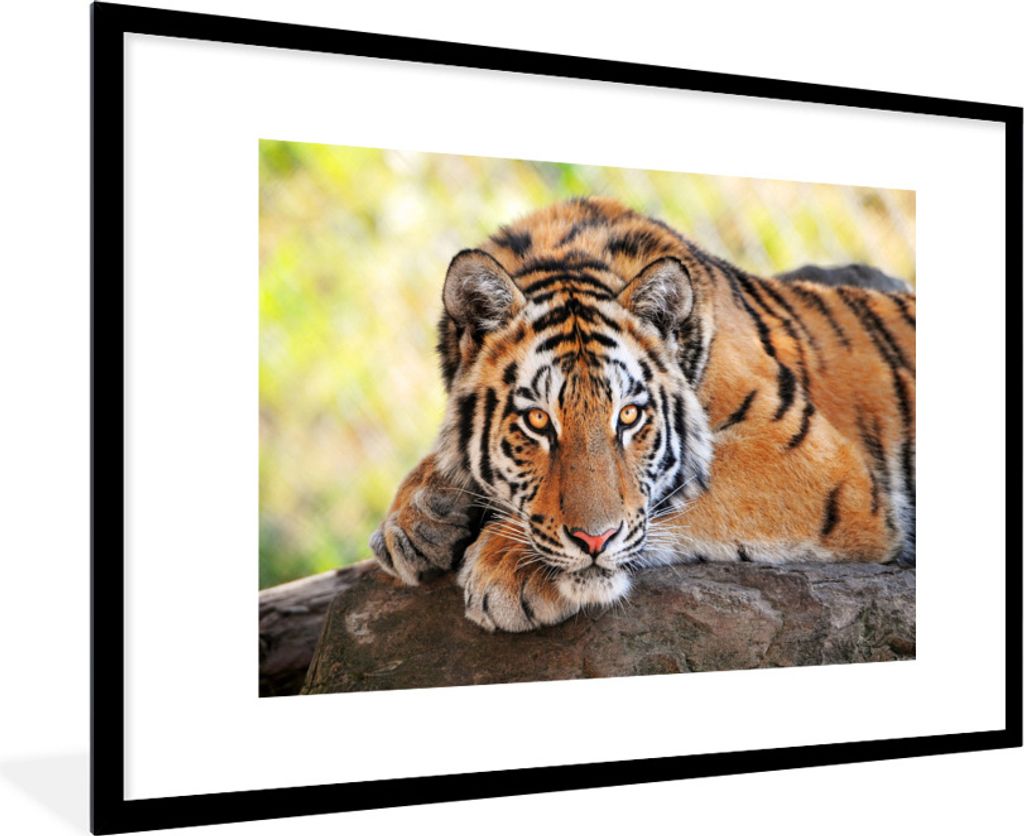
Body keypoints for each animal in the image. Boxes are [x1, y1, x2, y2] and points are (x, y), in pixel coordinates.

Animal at [369, 197, 915, 632]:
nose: (594, 540)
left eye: (629, 416)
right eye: (539, 421)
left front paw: (508, 566)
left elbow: (673, 494)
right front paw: (417, 519)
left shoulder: (816, 465)